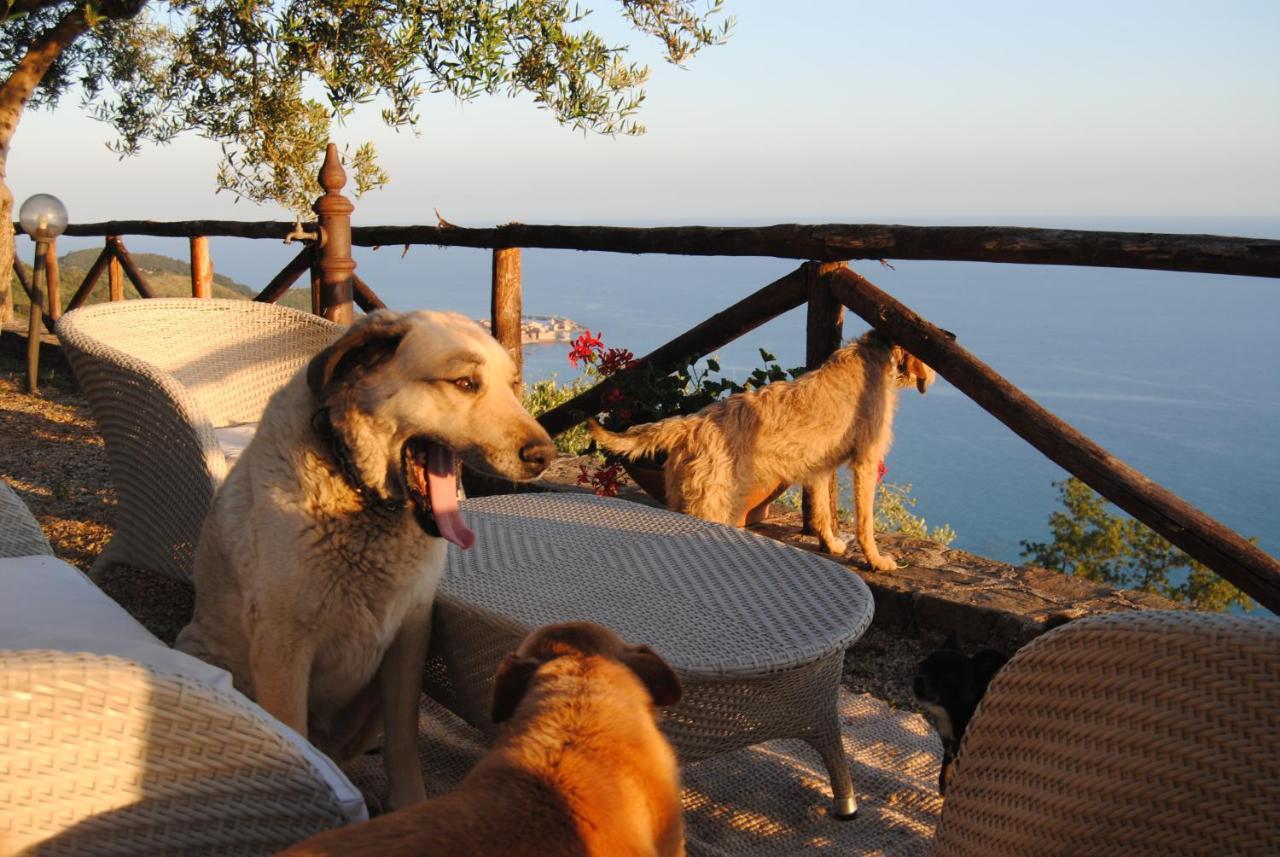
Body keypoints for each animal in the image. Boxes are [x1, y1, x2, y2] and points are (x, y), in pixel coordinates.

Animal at [176, 310, 555, 813]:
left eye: (514, 385)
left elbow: (404, 741)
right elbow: (296, 738)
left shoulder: (411, 637)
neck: (357, 491)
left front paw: (408, 802)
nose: (544, 456)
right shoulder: (282, 645)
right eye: (464, 383)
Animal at [586, 332, 931, 573]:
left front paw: (830, 543)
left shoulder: (819, 467)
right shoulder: (866, 462)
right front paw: (876, 559)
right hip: (712, 505)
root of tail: (692, 423)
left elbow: (821, 511)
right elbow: (866, 522)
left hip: (683, 497)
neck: (875, 353)